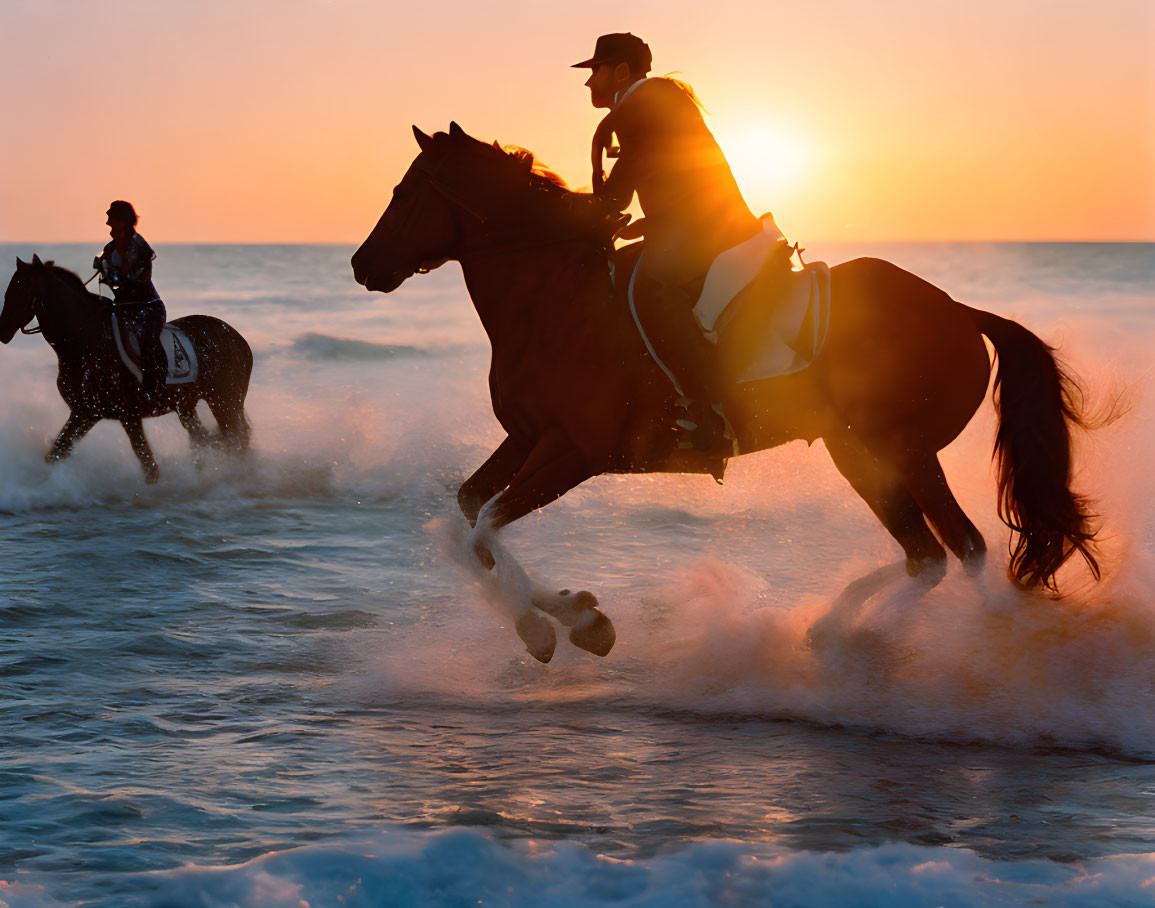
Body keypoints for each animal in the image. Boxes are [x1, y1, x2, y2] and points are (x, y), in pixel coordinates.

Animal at [0, 254, 252, 480]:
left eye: (21, 289)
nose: (3, 330)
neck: (86, 339)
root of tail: (238, 339)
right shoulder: (85, 413)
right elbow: (56, 453)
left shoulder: (126, 415)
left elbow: (148, 464)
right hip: (187, 406)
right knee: (208, 440)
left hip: (225, 402)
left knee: (236, 439)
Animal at [348, 120, 1099, 656]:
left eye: (404, 192)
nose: (360, 264)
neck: (555, 299)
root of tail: (959, 311)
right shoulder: (528, 437)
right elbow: (466, 519)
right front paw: (568, 617)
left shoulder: (578, 451)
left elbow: (485, 526)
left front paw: (562, 625)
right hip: (862, 452)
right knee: (932, 556)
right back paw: (836, 628)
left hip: (896, 450)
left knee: (957, 553)